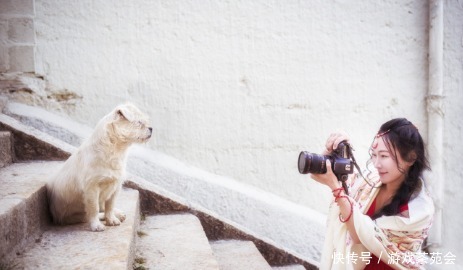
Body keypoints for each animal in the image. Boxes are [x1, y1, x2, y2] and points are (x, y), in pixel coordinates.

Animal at [47, 102, 153, 231]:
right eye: (139, 123)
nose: (151, 128)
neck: (115, 149)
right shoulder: (92, 188)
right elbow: (94, 208)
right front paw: (96, 225)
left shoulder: (115, 187)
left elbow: (110, 205)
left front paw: (111, 219)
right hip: (74, 216)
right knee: (90, 214)